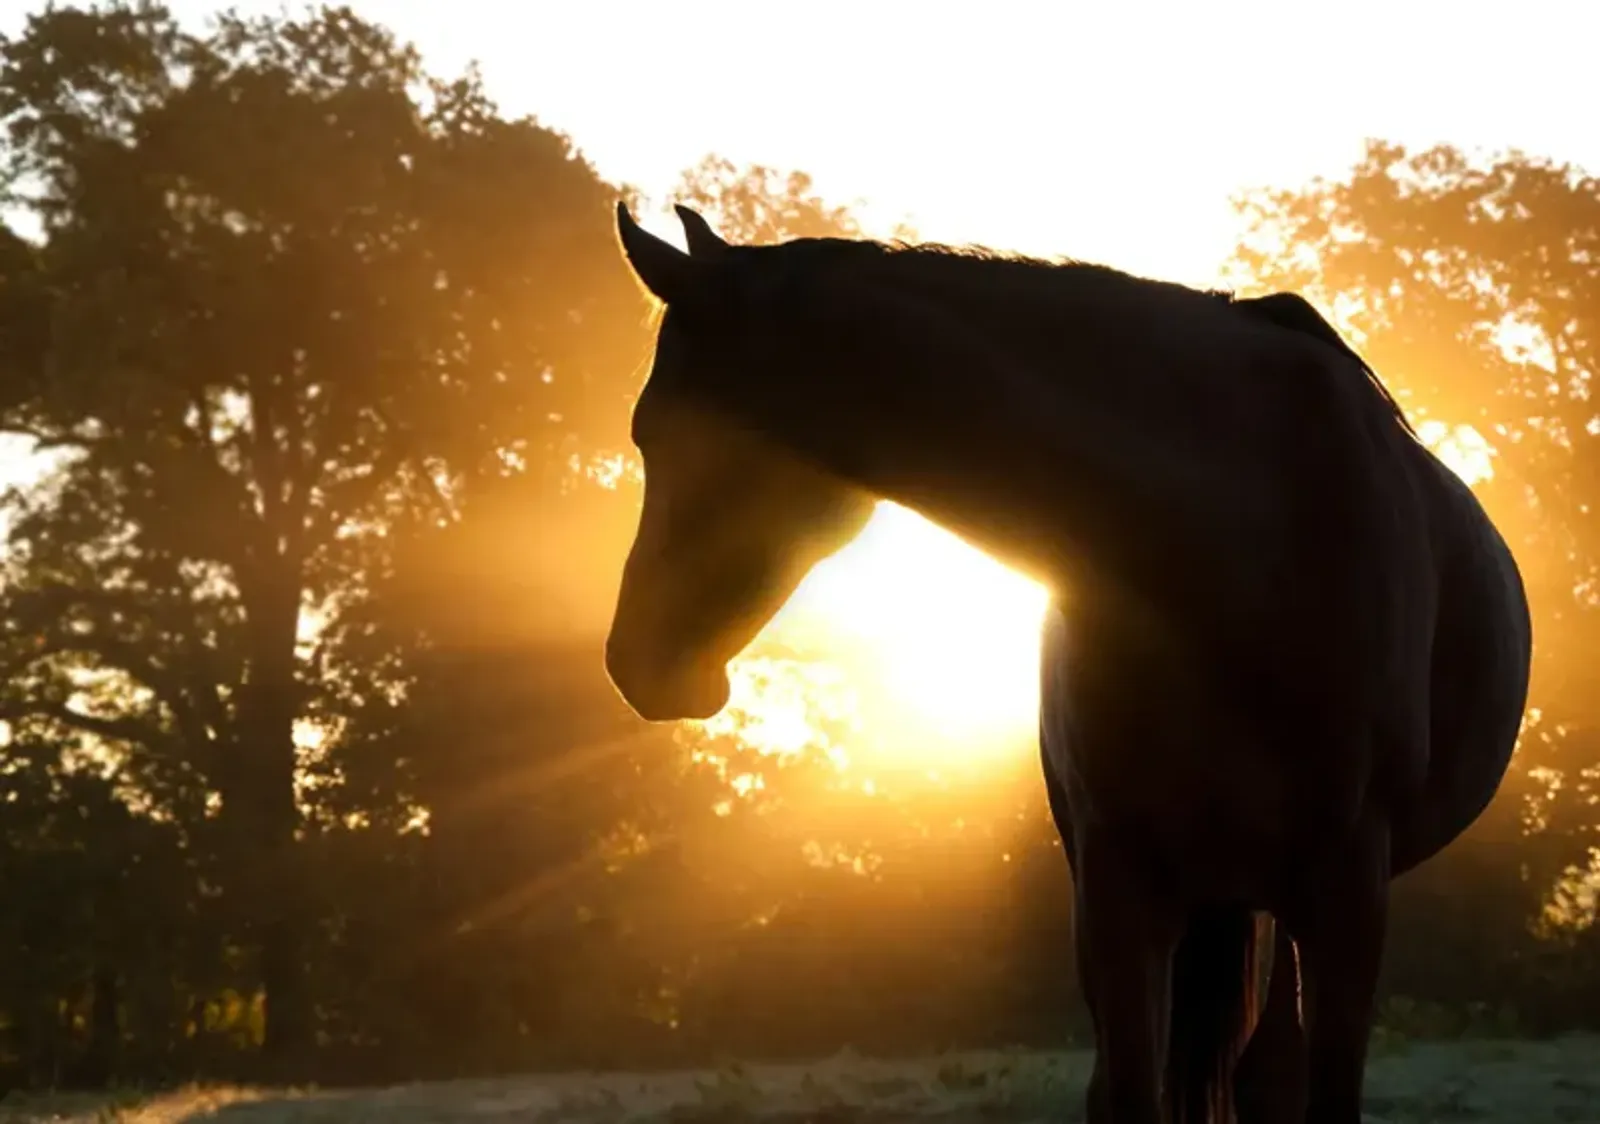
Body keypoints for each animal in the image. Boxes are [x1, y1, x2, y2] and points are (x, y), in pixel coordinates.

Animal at [601, 204, 1536, 1124]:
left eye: (659, 431)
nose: (633, 661)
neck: (1244, 544)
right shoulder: (1116, 885)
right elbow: (1126, 1093)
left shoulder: (1347, 892)